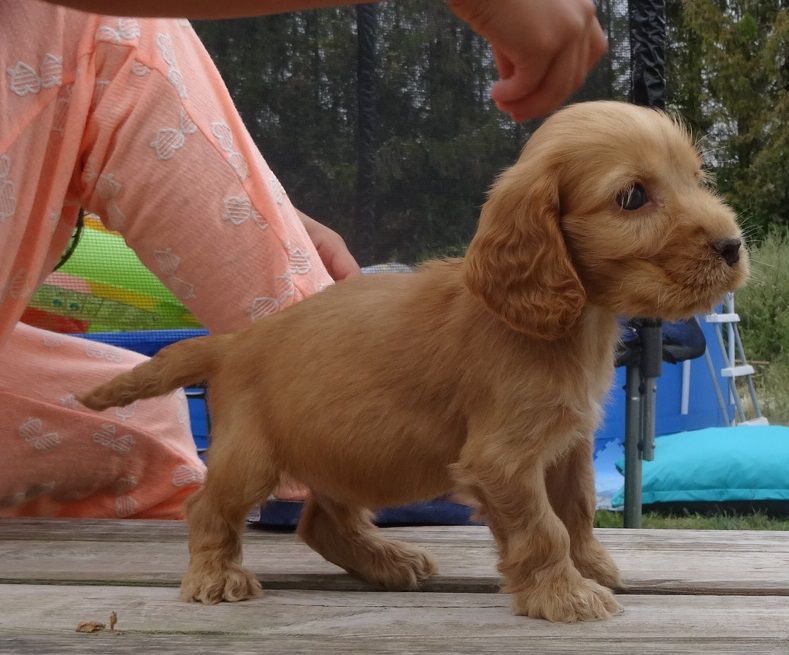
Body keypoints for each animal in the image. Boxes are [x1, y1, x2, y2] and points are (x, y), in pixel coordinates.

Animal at [78, 100, 744, 624]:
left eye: (696, 178)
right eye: (633, 197)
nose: (733, 246)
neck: (566, 324)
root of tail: (234, 342)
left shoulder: (568, 444)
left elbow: (576, 510)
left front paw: (591, 569)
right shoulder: (502, 459)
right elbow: (542, 527)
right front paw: (563, 593)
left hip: (345, 453)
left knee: (320, 521)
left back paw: (385, 560)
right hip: (252, 457)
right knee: (208, 507)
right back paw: (216, 576)